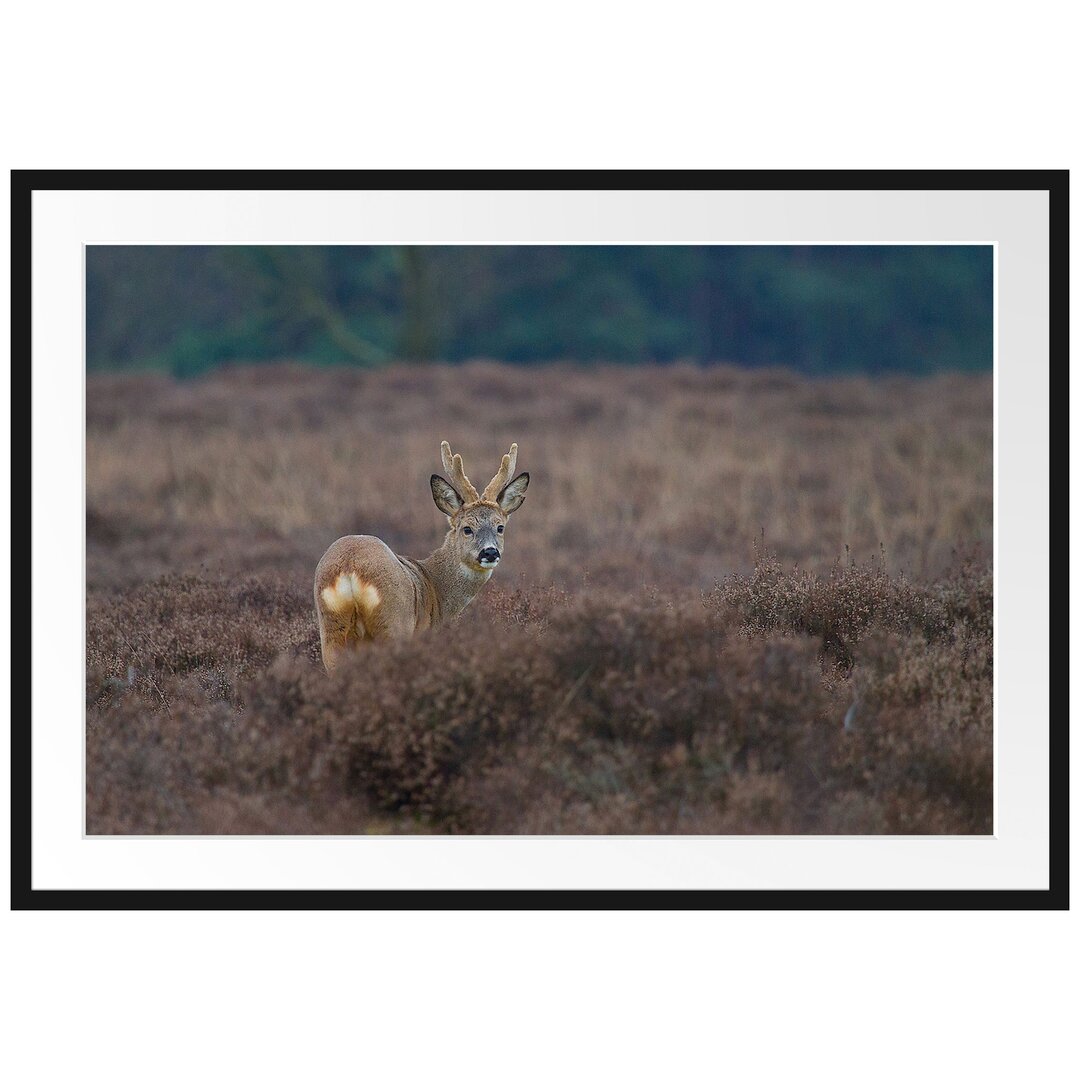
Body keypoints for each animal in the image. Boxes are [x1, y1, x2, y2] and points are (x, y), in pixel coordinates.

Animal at [313, 442, 531, 669]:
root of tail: (350, 568)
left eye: (500, 527)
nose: (490, 552)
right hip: (394, 623)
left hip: (331, 629)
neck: (436, 587)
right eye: (467, 529)